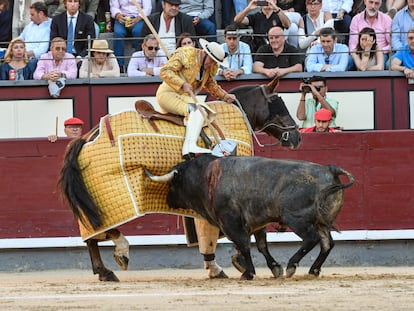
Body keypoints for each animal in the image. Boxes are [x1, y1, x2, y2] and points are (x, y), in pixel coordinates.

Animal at [58, 77, 300, 282]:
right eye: (279, 105)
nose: (297, 137)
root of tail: (86, 137)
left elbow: (208, 237)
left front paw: (219, 267)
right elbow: (257, 235)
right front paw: (270, 265)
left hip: (93, 203)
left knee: (92, 235)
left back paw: (106, 269)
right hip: (107, 202)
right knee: (98, 234)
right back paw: (118, 255)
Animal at [146, 156, 352, 280]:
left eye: (173, 183)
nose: (168, 201)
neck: (207, 177)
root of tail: (329, 169)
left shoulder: (230, 222)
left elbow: (244, 245)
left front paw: (248, 273)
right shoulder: (257, 223)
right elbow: (261, 246)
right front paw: (274, 268)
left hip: (298, 220)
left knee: (312, 239)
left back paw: (292, 266)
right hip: (321, 222)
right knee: (327, 243)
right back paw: (313, 271)